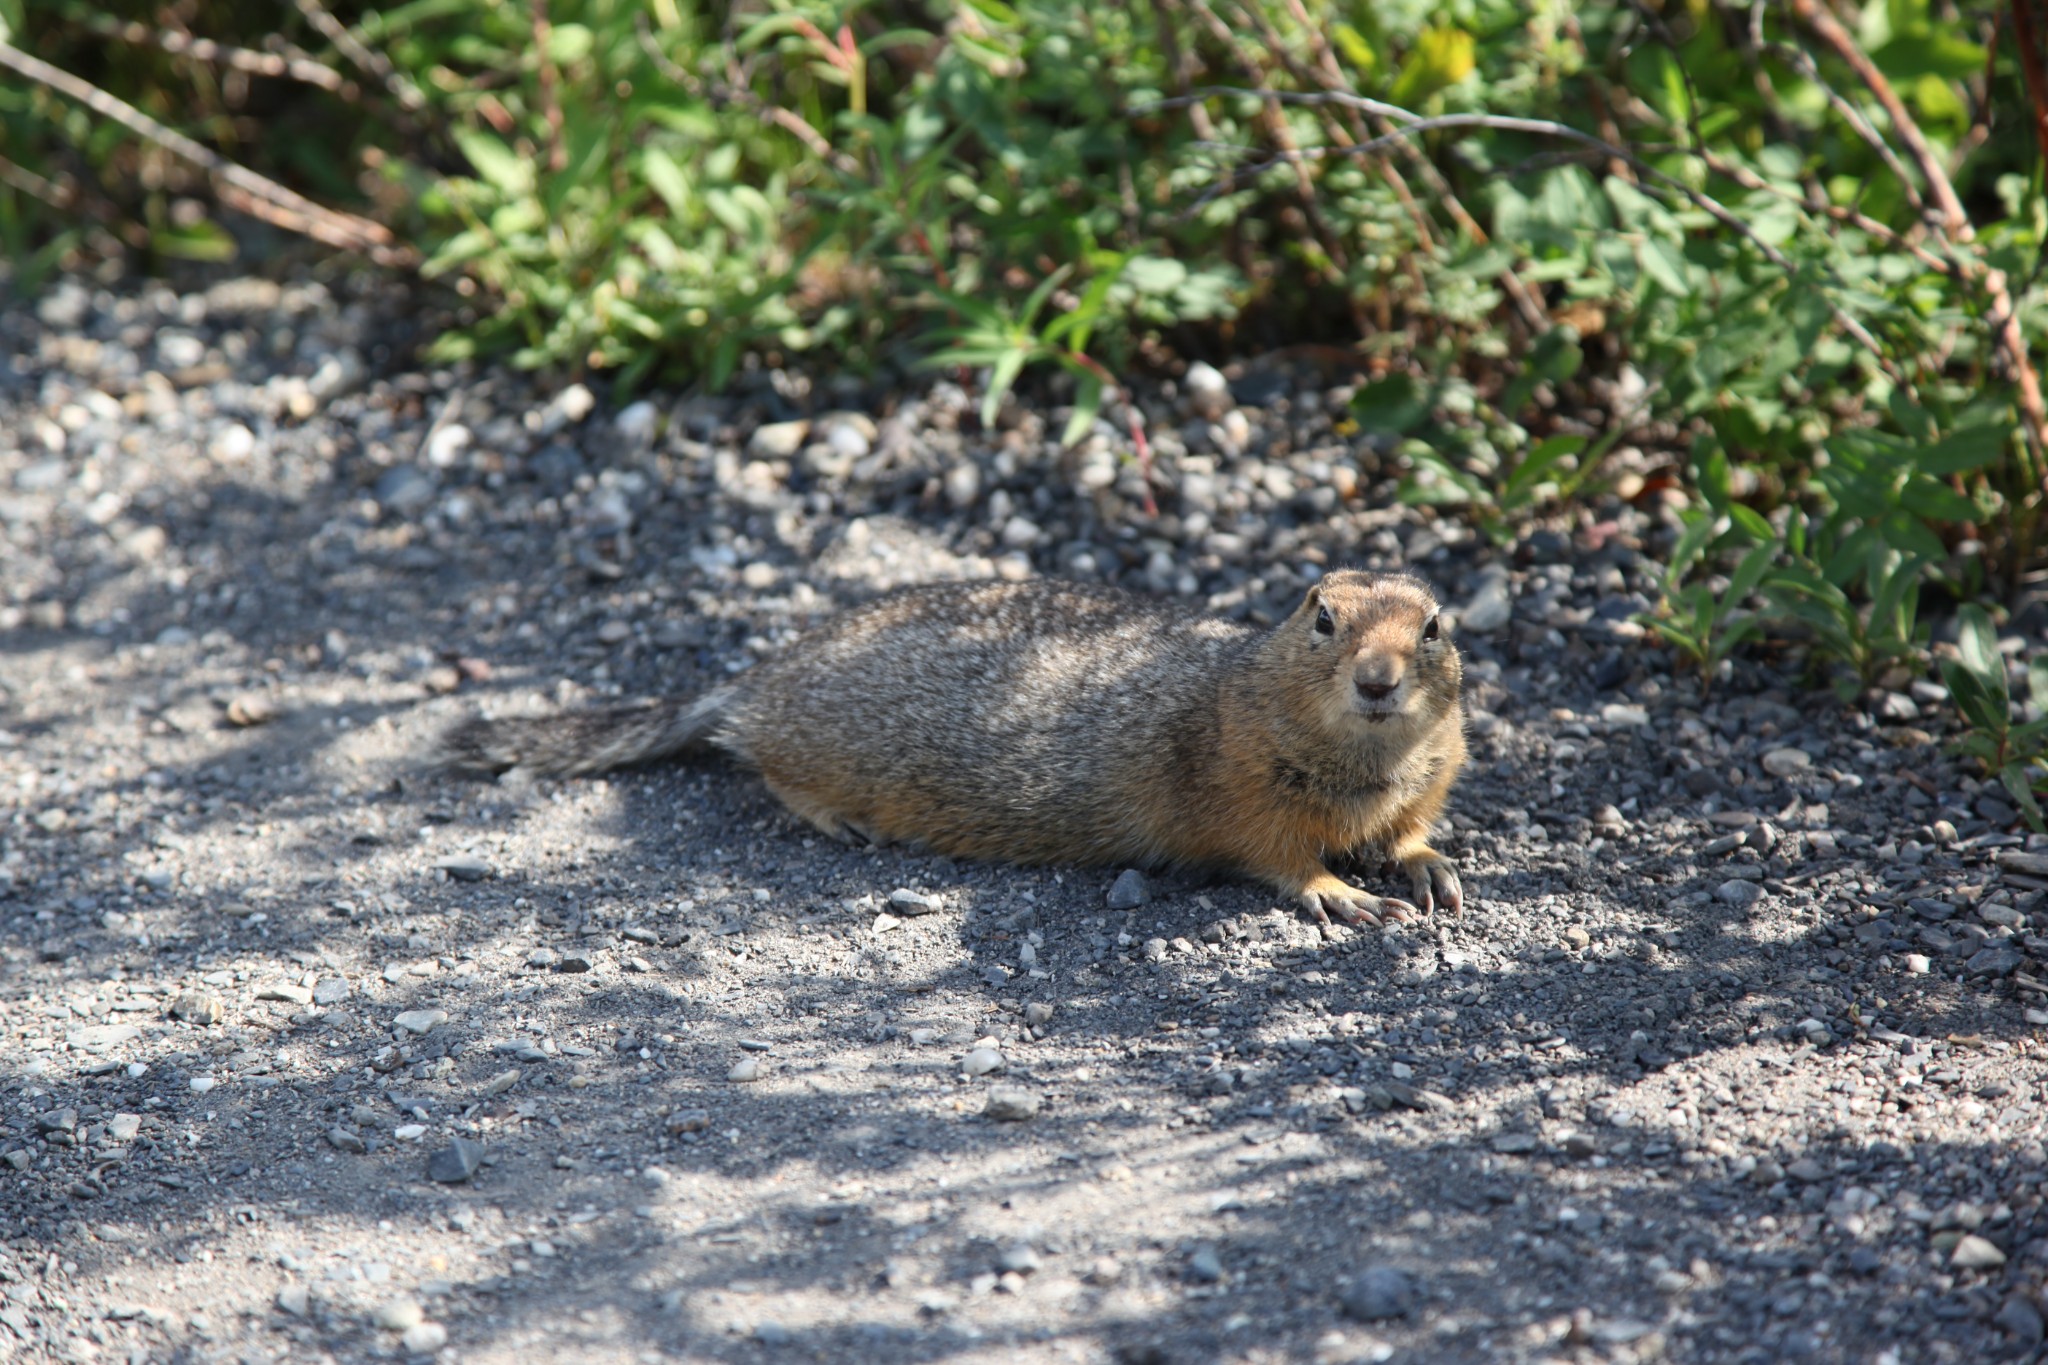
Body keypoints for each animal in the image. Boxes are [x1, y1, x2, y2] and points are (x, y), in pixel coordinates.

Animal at [448, 573, 1474, 925]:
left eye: (1433, 625)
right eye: (1322, 618)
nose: (1377, 681)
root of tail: (759, 675)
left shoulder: (1430, 776)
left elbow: (1412, 829)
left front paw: (1428, 865)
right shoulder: (1244, 794)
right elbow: (1281, 859)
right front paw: (1345, 893)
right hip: (814, 747)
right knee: (765, 764)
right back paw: (841, 820)